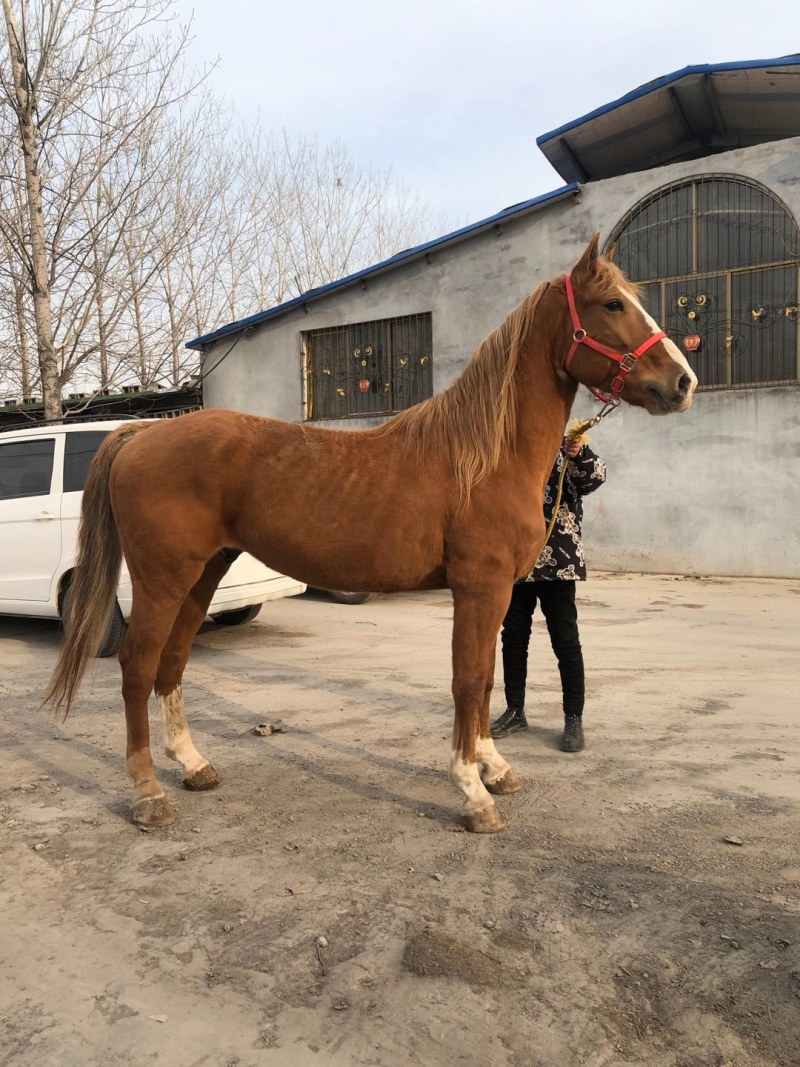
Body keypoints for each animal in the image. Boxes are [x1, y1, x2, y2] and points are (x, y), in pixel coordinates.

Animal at [44, 234, 697, 833]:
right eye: (612, 304)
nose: (683, 381)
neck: (484, 455)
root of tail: (142, 433)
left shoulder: (496, 593)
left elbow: (485, 681)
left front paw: (494, 769)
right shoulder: (478, 588)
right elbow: (470, 680)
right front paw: (472, 792)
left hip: (205, 572)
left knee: (172, 662)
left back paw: (193, 766)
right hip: (163, 578)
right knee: (137, 666)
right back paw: (148, 794)